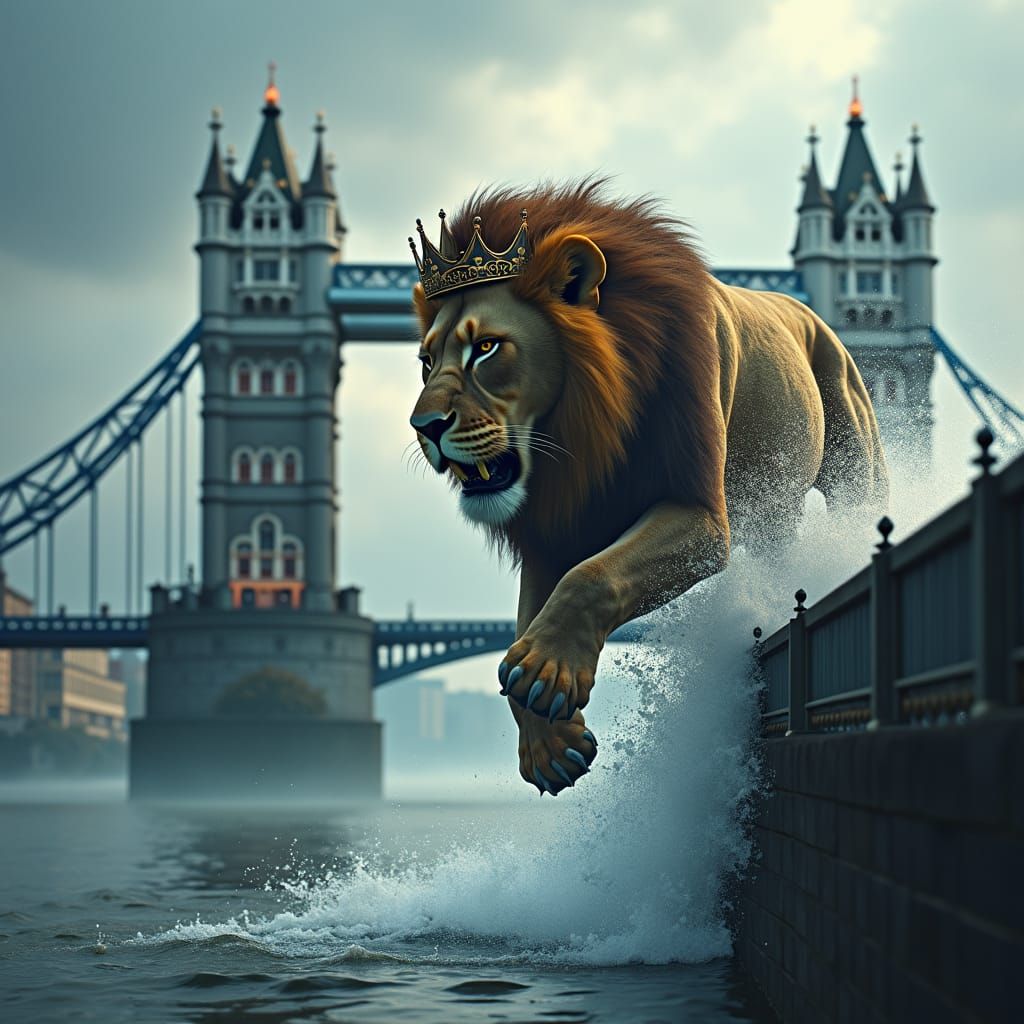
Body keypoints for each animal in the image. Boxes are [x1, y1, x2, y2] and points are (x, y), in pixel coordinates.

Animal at [408, 178, 887, 796]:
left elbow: (591, 577)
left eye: (486, 348)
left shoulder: (697, 511)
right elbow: (534, 611)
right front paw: (549, 742)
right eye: (426, 361)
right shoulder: (553, 533)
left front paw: (543, 671)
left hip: (856, 466)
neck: (582, 437)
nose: (424, 427)